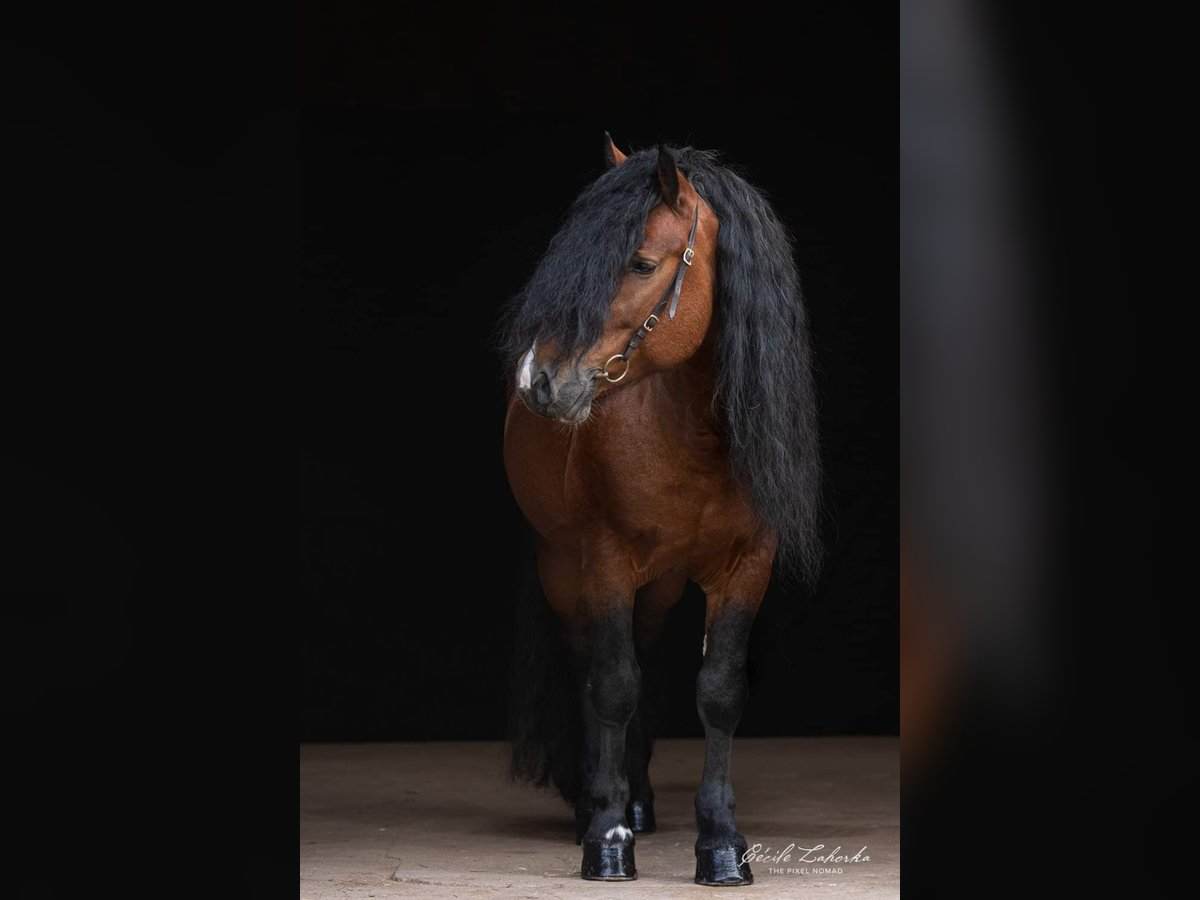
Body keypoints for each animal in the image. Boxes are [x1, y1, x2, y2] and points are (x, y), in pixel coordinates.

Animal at [500, 135, 821, 885]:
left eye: (643, 263)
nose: (538, 380)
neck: (692, 433)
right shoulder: (605, 561)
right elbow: (612, 687)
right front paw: (608, 838)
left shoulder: (747, 567)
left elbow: (719, 692)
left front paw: (722, 846)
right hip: (567, 571)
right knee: (590, 670)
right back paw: (602, 805)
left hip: (662, 584)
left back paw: (641, 801)